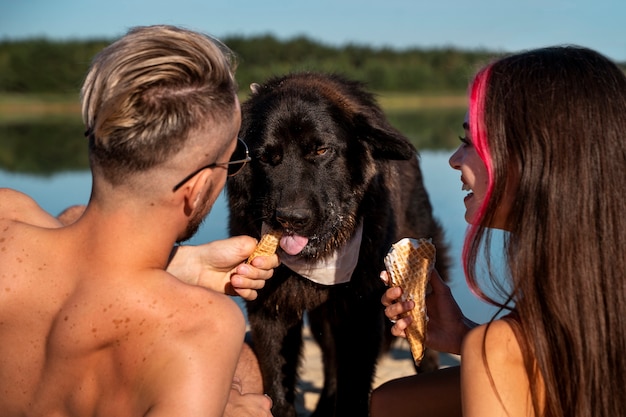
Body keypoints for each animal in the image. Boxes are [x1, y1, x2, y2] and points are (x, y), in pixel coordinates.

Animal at [227, 72, 446, 416]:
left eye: (321, 150)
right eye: (266, 157)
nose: (291, 219)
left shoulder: (360, 312)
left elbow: (353, 388)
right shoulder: (270, 311)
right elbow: (277, 386)